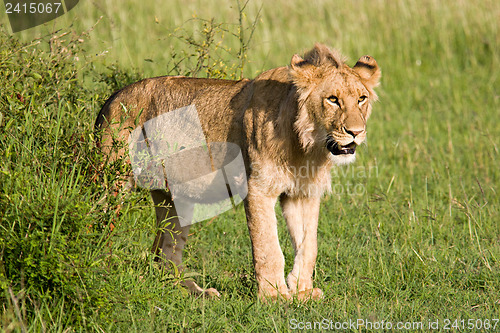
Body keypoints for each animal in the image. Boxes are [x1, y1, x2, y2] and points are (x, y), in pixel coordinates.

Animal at [95, 42, 380, 300]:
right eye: (333, 100)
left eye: (361, 99)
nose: (356, 132)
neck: (307, 146)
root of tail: (112, 97)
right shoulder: (258, 189)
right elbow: (267, 245)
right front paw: (274, 296)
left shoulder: (303, 194)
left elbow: (308, 246)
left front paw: (302, 291)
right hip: (112, 182)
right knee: (99, 227)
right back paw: (102, 274)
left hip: (173, 197)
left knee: (164, 253)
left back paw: (195, 292)